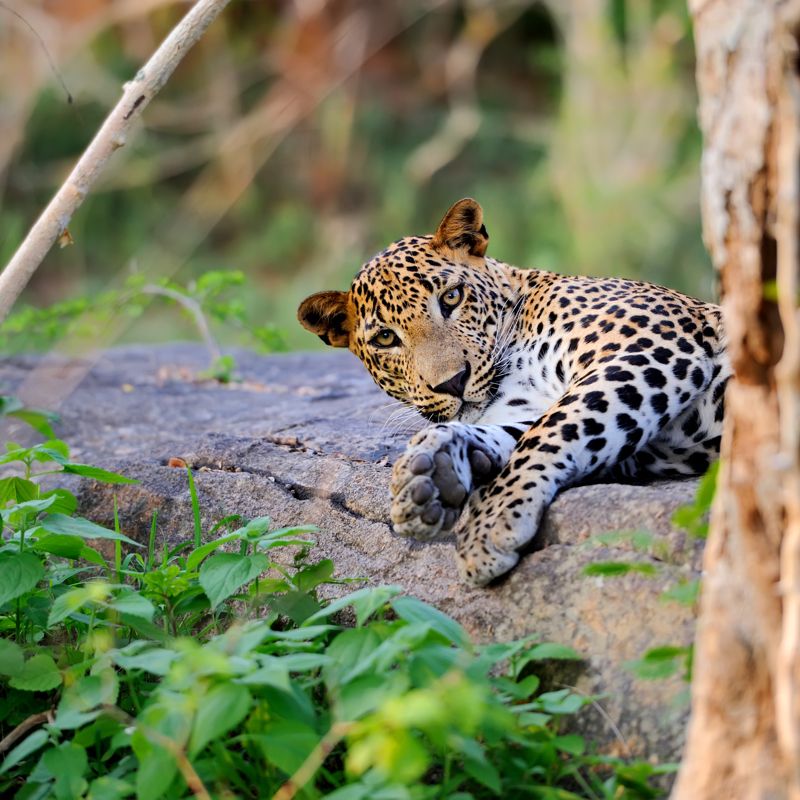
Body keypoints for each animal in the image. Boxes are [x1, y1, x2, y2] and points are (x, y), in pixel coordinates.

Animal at [297, 198, 730, 586]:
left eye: (451, 297)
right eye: (385, 338)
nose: (452, 381)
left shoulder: (647, 346)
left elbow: (552, 429)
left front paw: (489, 523)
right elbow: (526, 431)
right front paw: (434, 470)